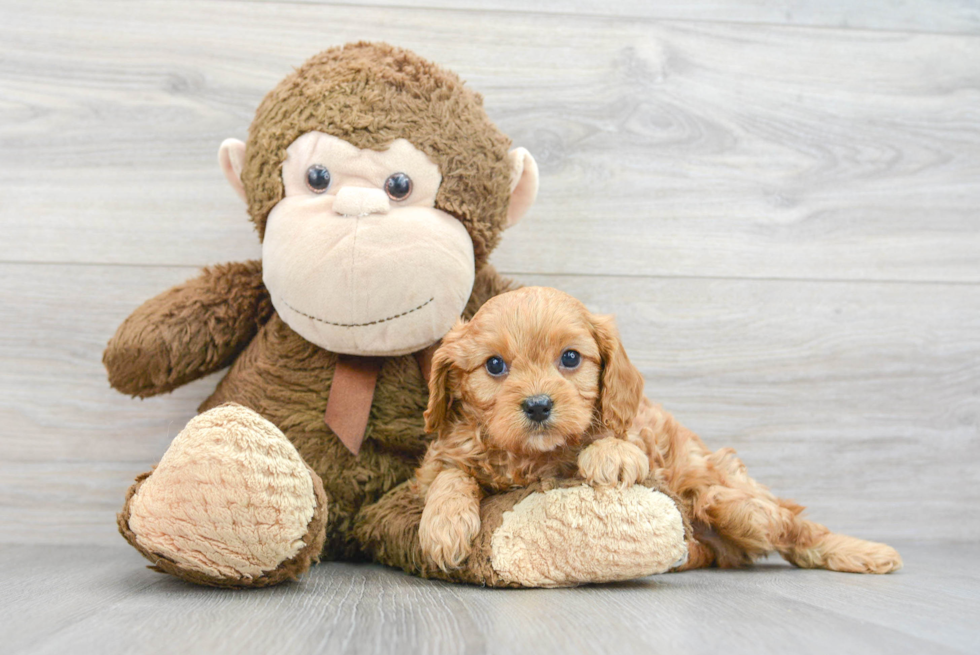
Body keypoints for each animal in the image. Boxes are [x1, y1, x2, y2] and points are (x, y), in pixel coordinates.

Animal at [414, 284, 652, 572]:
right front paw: (445, 524)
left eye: (570, 357)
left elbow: (617, 437)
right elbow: (450, 474)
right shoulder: (435, 464)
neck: (528, 456)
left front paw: (612, 452)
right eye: (494, 364)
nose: (538, 406)